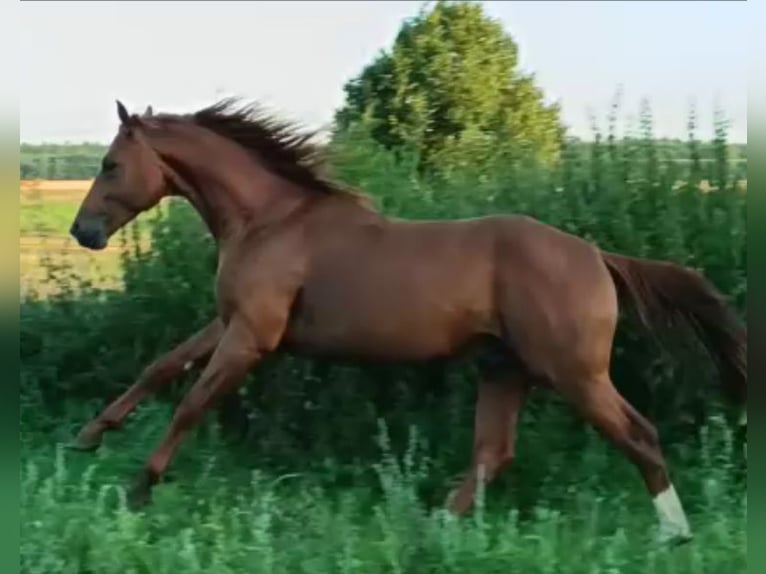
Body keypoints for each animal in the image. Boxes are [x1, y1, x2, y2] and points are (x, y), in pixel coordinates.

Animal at [69, 100, 748, 548]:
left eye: (110, 164)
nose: (83, 232)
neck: (269, 220)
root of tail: (597, 256)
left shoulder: (252, 337)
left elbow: (191, 403)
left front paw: (138, 488)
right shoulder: (231, 323)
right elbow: (160, 368)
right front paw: (89, 436)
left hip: (574, 373)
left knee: (639, 435)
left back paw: (674, 534)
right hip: (506, 368)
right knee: (493, 452)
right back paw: (433, 528)